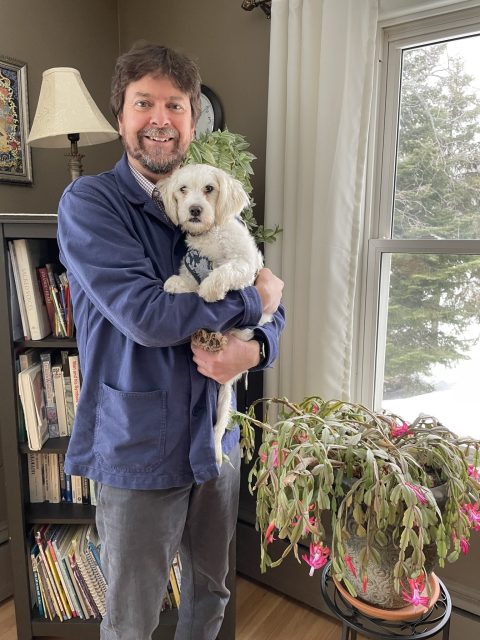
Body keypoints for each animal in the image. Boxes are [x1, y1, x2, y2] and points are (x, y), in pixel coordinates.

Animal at [158, 164, 268, 464]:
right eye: (183, 189)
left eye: (210, 189)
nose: (194, 209)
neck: (209, 235)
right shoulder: (191, 262)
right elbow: (189, 278)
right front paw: (178, 283)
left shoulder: (244, 263)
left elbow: (224, 271)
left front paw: (209, 288)